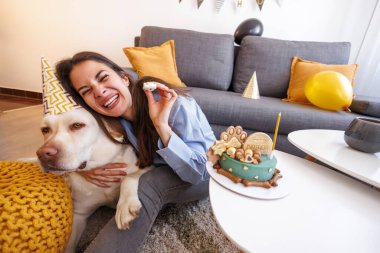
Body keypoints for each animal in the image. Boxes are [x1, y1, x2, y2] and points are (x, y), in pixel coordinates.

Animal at [33, 107, 150, 253]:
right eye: (45, 129)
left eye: (77, 125)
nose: (42, 154)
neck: (103, 165)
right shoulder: (79, 215)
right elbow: (69, 246)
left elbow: (129, 177)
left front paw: (125, 205)